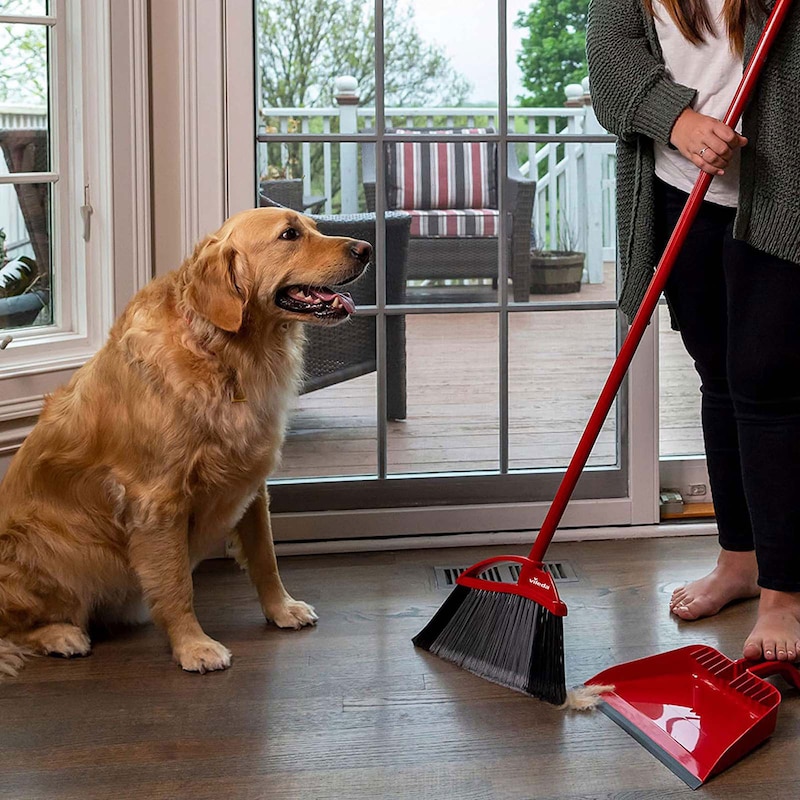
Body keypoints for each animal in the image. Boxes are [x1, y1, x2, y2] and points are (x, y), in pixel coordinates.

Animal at [0, 206, 370, 676]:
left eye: (313, 227)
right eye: (289, 235)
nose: (367, 248)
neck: (226, 355)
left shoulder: (251, 484)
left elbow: (265, 558)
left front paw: (281, 609)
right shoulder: (158, 502)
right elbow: (177, 585)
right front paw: (194, 646)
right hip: (55, 546)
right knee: (14, 629)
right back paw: (61, 635)